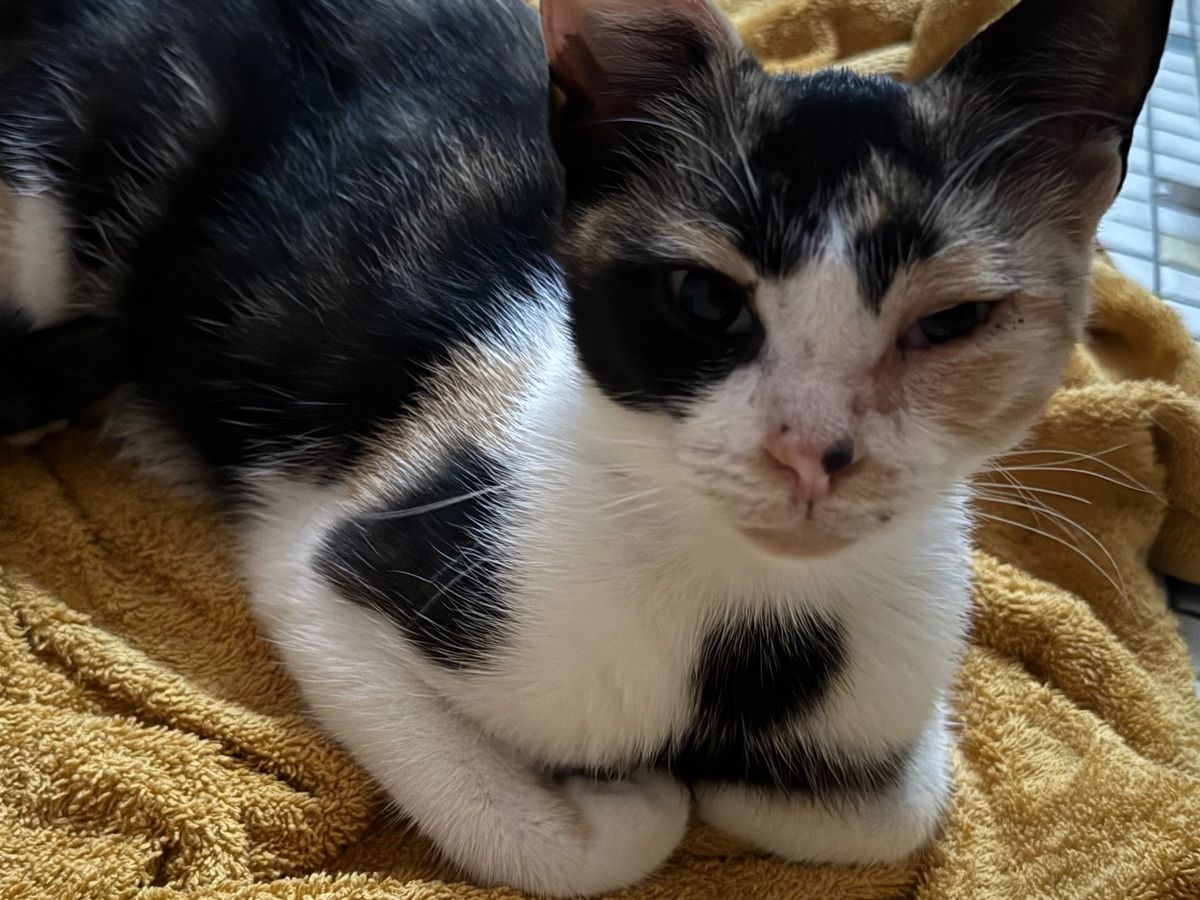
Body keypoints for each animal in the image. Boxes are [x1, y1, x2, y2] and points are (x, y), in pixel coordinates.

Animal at [0, 0, 1170, 894]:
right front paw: (635, 799)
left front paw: (733, 785)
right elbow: (551, 838)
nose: (810, 451)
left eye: (953, 321)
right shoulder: (344, 563)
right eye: (704, 299)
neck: (744, 624)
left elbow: (903, 804)